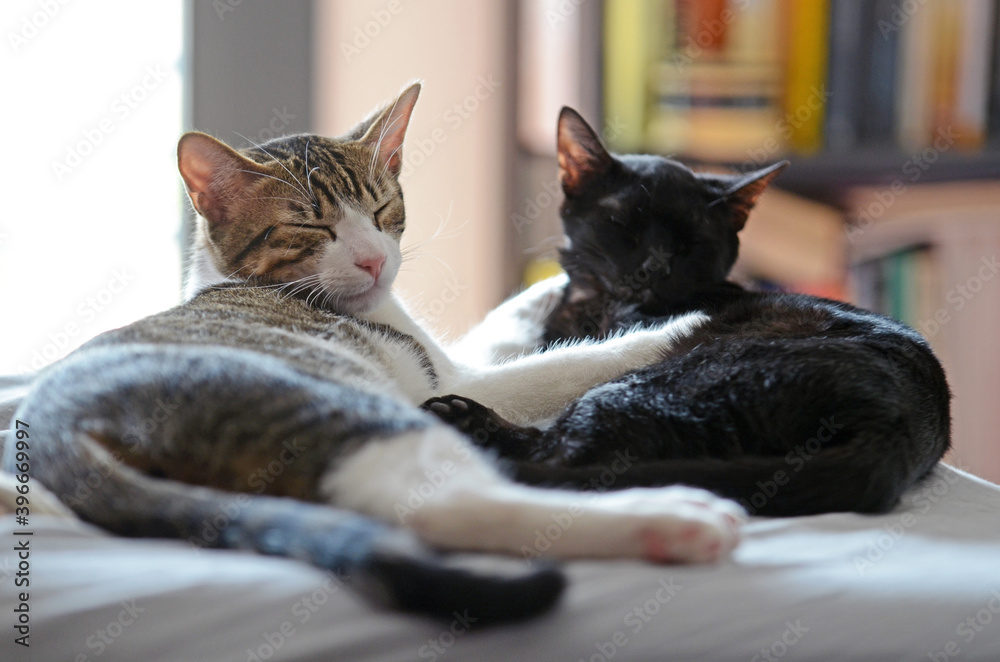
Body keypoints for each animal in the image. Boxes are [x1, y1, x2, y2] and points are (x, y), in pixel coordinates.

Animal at [3, 87, 744, 624]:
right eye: (310, 226)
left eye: (385, 209)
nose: (372, 260)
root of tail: (58, 424)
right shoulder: (447, 382)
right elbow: (551, 368)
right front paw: (677, 325)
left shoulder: (452, 360)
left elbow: (494, 335)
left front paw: (538, 298)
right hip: (336, 403)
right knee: (434, 506)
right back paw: (670, 521)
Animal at [424, 107, 952, 520]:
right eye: (622, 224)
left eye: (690, 242)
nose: (653, 266)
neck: (592, 305)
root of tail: (893, 428)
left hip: (655, 379)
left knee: (562, 456)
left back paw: (464, 418)